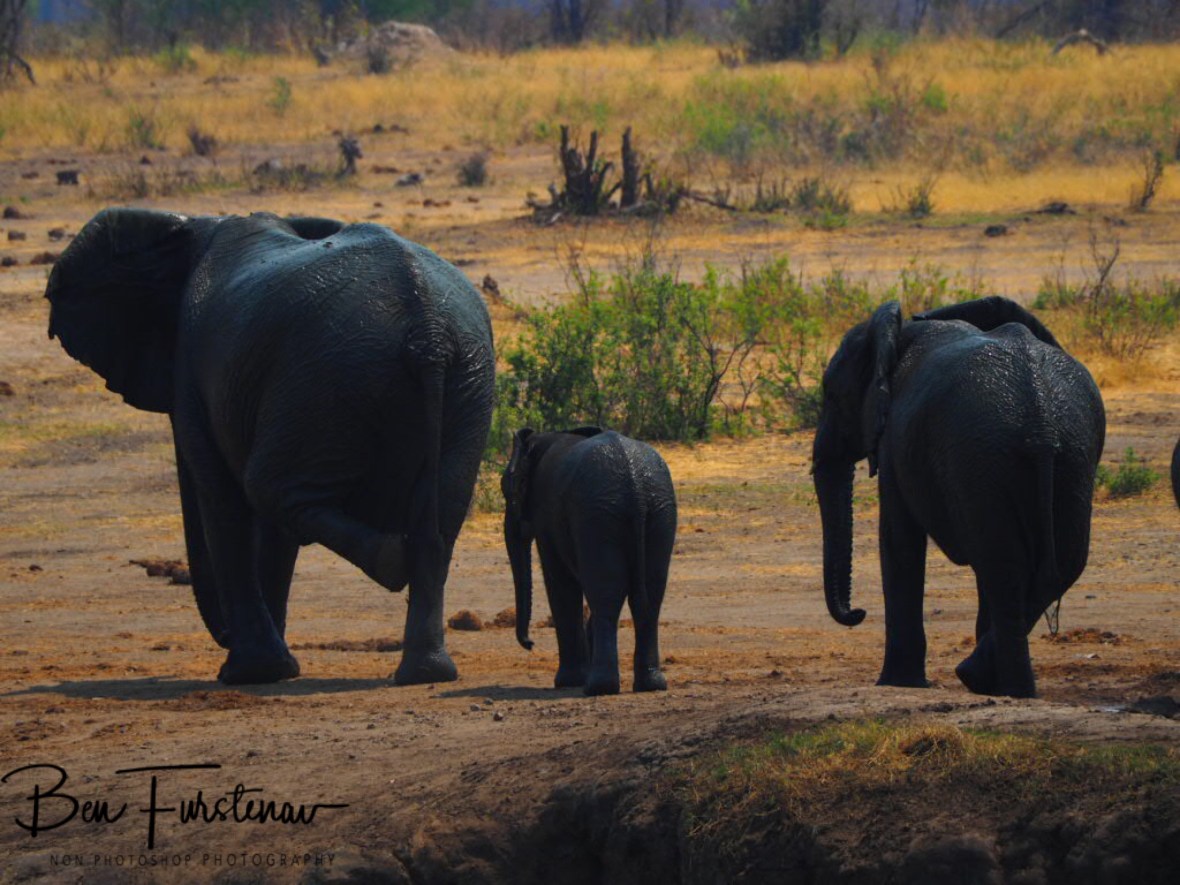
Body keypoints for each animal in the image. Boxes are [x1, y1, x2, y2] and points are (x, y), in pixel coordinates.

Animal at [45, 208, 495, 686]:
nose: (222, 636)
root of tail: (427, 332)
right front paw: (275, 670)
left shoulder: (195, 371)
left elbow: (221, 499)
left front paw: (250, 673)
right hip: (463, 385)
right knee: (439, 518)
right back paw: (426, 669)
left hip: (325, 383)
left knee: (271, 489)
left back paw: (391, 566)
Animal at [502, 427, 677, 695]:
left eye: (507, 491)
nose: (530, 643)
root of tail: (635, 486)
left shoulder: (545, 513)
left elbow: (559, 582)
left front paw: (568, 682)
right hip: (659, 511)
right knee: (649, 595)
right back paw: (651, 685)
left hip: (597, 515)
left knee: (606, 595)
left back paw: (598, 687)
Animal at [812, 296, 1105, 699]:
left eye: (830, 394)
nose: (857, 614)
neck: (900, 332)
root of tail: (1041, 422)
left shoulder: (894, 442)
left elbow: (898, 541)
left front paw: (898, 684)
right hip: (1070, 454)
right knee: (1058, 565)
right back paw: (996, 684)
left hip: (985, 454)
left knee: (1003, 568)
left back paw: (984, 680)